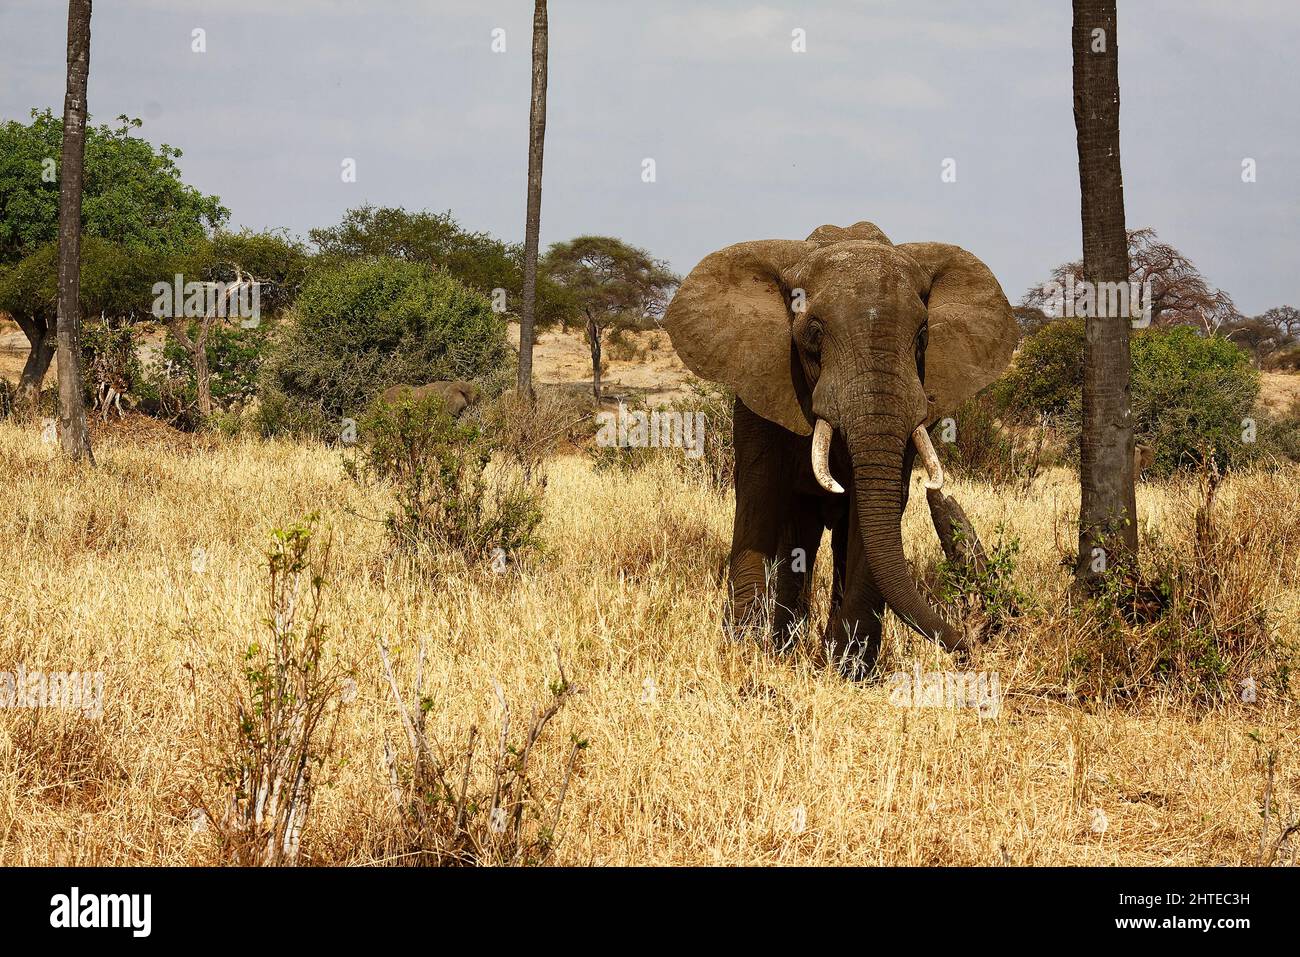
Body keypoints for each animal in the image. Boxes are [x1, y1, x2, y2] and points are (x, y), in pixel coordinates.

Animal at [665, 221, 1019, 676]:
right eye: (814, 334)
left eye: (923, 337)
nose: (969, 646)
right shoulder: (762, 383)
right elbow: (759, 497)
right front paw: (744, 652)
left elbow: (877, 513)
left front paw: (849, 669)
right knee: (800, 535)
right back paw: (784, 644)